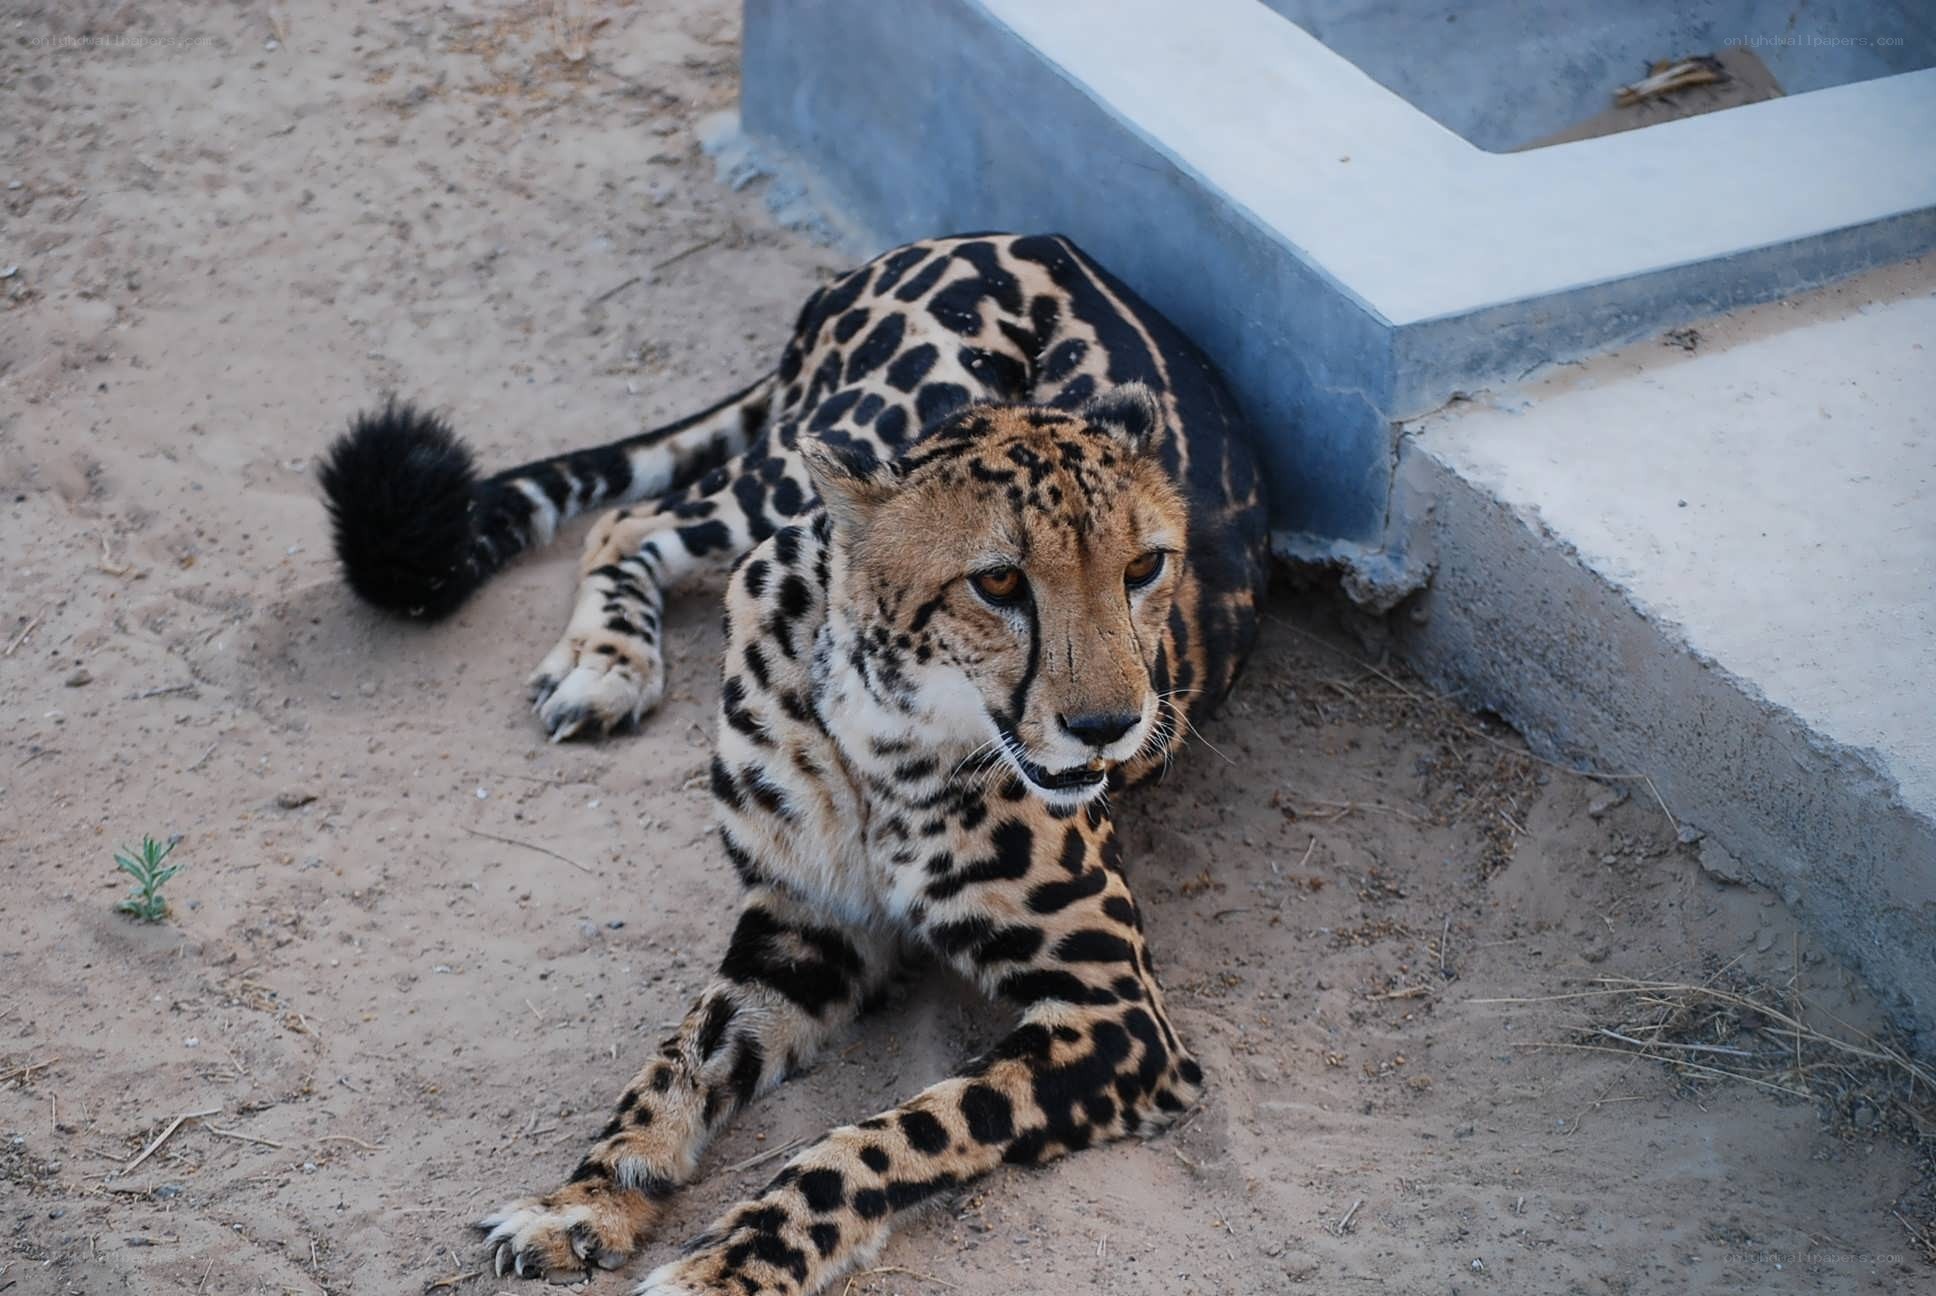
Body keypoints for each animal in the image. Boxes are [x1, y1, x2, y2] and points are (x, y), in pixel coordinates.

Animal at [320, 233, 1269, 1294]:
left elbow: (889, 1134)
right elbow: (676, 1062)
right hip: (825, 447)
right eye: (997, 582)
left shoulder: (1116, 1013)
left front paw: (725, 1263)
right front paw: (587, 1197)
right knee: (635, 519)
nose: (1113, 724)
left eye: (1145, 567)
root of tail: (1007, 234)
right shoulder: (800, 922)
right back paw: (608, 660)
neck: (886, 731)